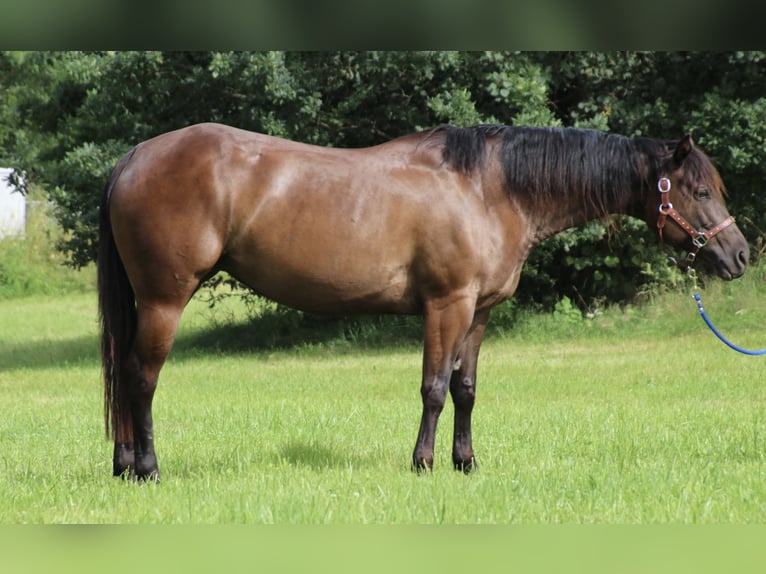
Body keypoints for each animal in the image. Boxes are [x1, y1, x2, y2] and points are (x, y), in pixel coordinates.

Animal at [96, 125, 752, 482]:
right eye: (699, 190)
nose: (742, 255)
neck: (490, 188)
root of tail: (135, 156)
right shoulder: (447, 305)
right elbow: (434, 388)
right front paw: (424, 463)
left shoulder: (479, 313)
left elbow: (465, 389)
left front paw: (467, 463)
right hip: (164, 298)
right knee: (142, 378)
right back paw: (148, 469)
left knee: (125, 377)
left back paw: (124, 466)